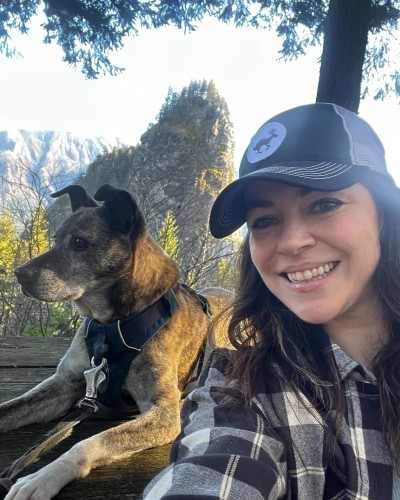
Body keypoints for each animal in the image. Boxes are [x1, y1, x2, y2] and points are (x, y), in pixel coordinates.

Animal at [0, 185, 233, 500]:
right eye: (56, 238)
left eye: (80, 243)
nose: (19, 273)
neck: (113, 324)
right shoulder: (65, 382)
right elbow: (9, 409)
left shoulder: (164, 414)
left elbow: (90, 442)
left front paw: (43, 476)